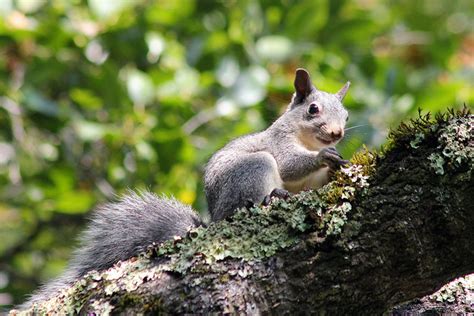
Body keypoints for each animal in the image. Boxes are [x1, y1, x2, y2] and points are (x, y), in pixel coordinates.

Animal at [21, 67, 348, 308]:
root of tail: (214, 219)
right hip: (252, 171)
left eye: (345, 115)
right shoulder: (278, 144)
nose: (337, 133)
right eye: (313, 109)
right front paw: (323, 157)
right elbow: (290, 163)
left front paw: (336, 164)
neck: (306, 139)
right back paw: (270, 197)